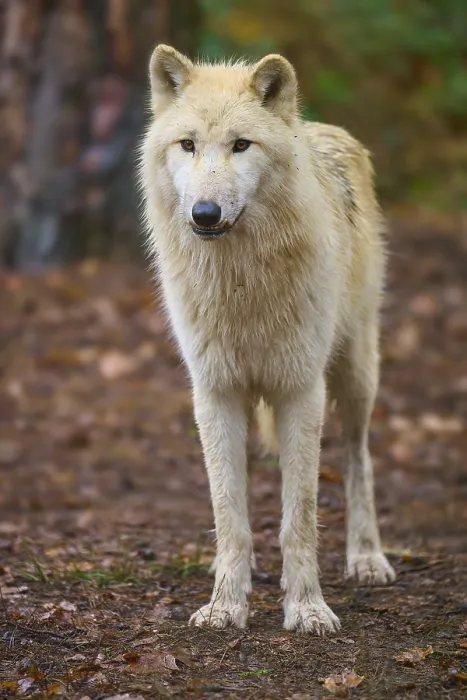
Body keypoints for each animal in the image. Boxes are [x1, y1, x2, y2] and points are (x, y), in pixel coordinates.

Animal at [139, 44, 396, 635]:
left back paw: (367, 557)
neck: (241, 282)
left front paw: (307, 608)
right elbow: (229, 514)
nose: (204, 213)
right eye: (188, 144)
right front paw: (224, 606)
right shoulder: (214, 393)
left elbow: (299, 518)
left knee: (360, 458)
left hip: (355, 376)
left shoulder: (301, 392)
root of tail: (322, 128)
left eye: (241, 145)